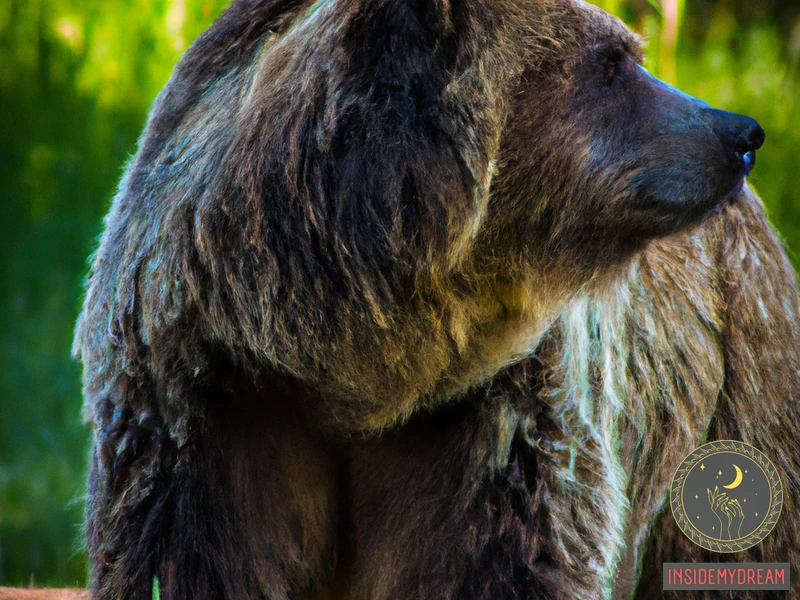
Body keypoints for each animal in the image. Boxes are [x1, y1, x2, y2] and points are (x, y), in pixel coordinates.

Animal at [73, 0, 792, 596]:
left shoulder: (490, 413)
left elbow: (502, 558)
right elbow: (199, 559)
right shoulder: (211, 407)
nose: (741, 133)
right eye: (613, 61)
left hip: (741, 366)